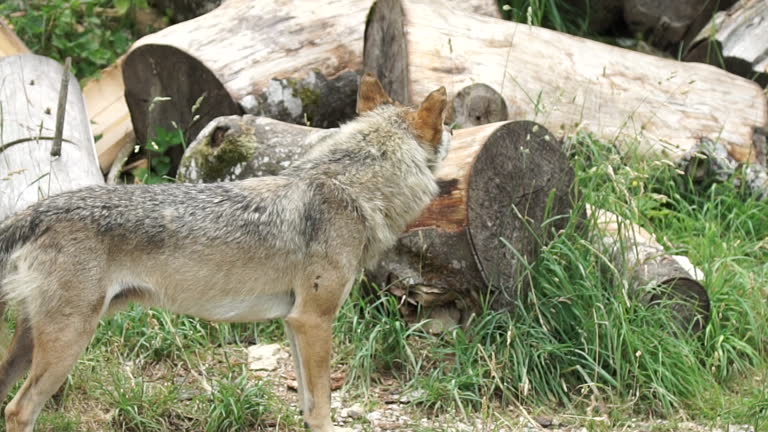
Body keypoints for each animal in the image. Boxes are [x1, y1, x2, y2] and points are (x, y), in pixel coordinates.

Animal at [0, 73, 450, 432]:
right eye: (448, 128)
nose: (455, 131)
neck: (350, 189)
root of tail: (37, 211)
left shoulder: (295, 322)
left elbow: (307, 406)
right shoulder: (314, 320)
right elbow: (322, 410)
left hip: (35, 342)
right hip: (68, 343)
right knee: (18, 411)